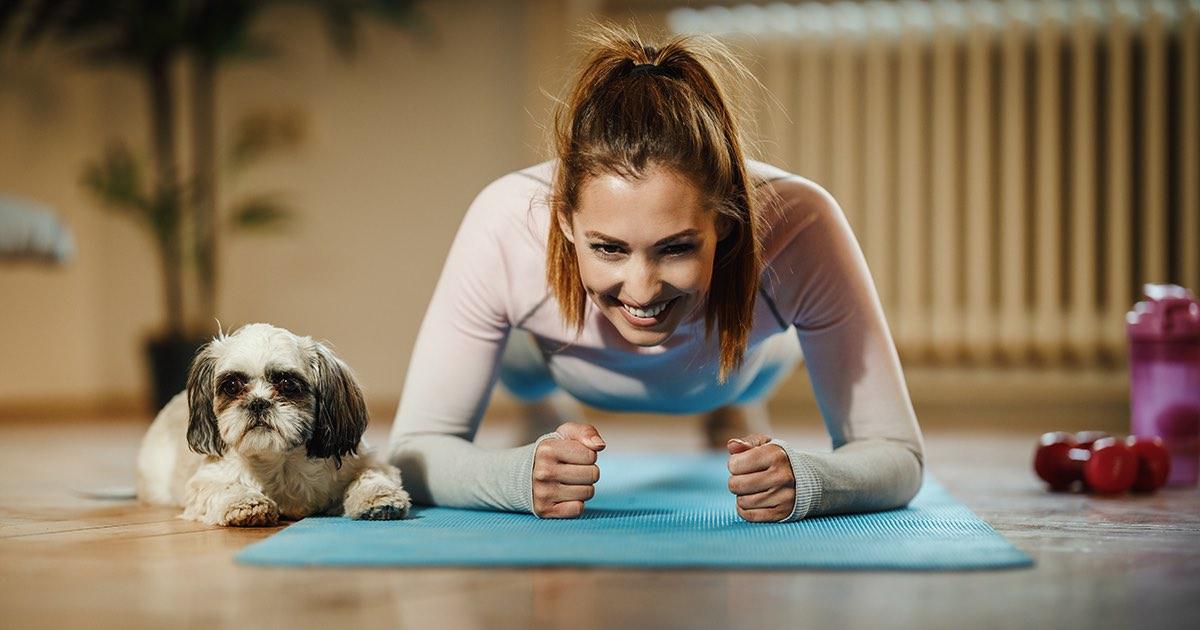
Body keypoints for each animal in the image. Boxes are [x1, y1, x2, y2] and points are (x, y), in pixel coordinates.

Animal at [136, 321, 412, 523]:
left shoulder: (365, 462)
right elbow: (223, 488)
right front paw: (246, 503)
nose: (258, 402)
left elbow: (370, 475)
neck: (281, 461)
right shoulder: (204, 482)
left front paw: (378, 498)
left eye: (288, 384)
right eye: (232, 385)